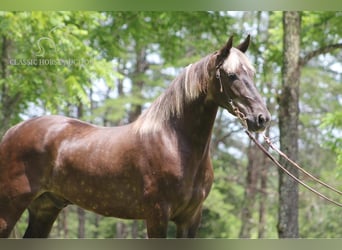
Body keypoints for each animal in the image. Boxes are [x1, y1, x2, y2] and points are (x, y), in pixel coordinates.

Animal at [0, 35, 272, 238]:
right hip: (10, 208)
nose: (262, 118)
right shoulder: (157, 215)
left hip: (45, 208)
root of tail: (12, 131)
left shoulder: (191, 218)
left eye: (252, 74)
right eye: (231, 75)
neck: (174, 143)